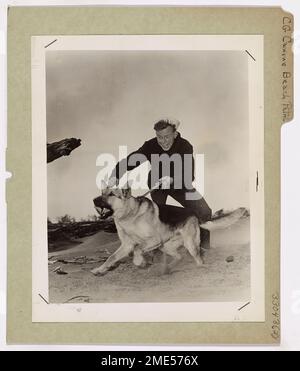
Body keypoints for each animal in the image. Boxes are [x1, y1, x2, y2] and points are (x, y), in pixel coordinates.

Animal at [92, 183, 246, 276]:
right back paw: (167, 269)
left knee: (198, 258)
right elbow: (111, 257)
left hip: (188, 244)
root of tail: (194, 214)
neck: (130, 214)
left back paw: (199, 267)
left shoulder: (152, 240)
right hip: (164, 246)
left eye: (111, 194)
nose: (94, 200)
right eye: (102, 192)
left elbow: (138, 249)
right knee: (179, 256)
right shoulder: (127, 245)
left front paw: (139, 261)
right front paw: (100, 269)